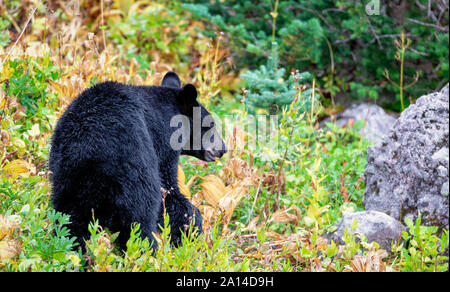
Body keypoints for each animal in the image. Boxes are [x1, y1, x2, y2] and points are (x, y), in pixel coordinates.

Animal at [49, 72, 227, 251]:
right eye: (210, 125)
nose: (223, 148)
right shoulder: (161, 145)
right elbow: (168, 190)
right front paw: (190, 228)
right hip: (136, 183)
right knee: (139, 225)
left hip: (68, 185)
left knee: (70, 224)